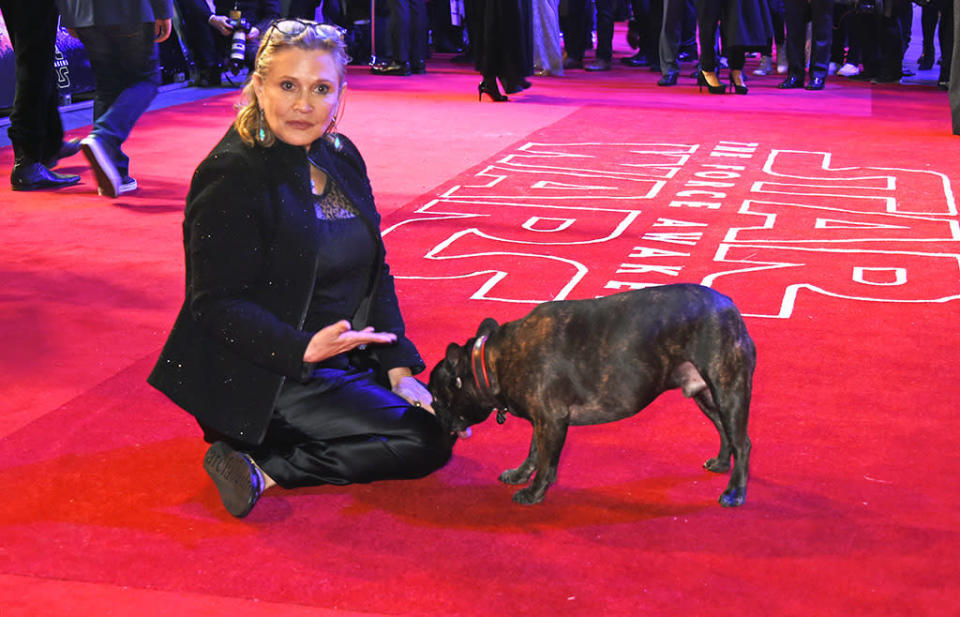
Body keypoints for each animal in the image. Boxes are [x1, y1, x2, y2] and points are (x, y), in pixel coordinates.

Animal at [430, 284, 756, 506]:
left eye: (437, 399)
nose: (437, 421)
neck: (491, 362)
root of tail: (731, 308)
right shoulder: (542, 420)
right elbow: (534, 452)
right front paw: (520, 474)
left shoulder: (551, 421)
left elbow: (546, 462)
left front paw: (534, 493)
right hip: (707, 395)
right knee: (726, 432)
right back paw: (721, 464)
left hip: (728, 389)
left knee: (742, 443)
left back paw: (735, 492)